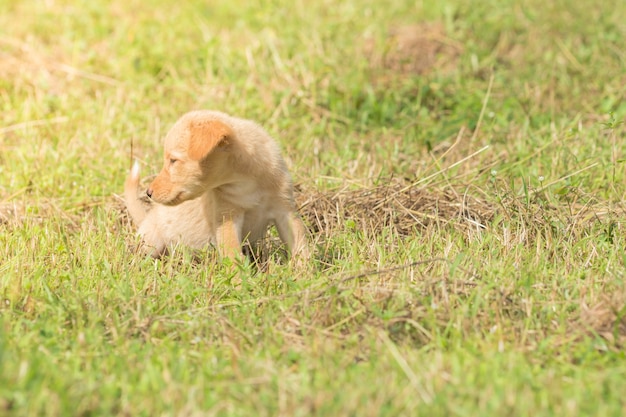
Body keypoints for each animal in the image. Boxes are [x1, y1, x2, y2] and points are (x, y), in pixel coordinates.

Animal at [126, 109, 308, 262]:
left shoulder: (285, 210)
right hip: (151, 242)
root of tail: (146, 218)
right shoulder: (227, 217)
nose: (148, 192)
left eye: (173, 160)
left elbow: (300, 246)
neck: (247, 184)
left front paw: (304, 273)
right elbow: (233, 256)